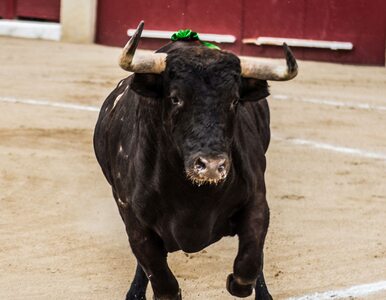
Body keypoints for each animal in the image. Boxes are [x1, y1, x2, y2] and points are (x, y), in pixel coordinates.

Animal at [93, 26, 298, 300]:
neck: (193, 197)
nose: (211, 165)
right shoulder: (133, 219)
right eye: (175, 98)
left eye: (234, 101)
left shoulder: (257, 202)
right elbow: (161, 279)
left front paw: (237, 283)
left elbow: (250, 262)